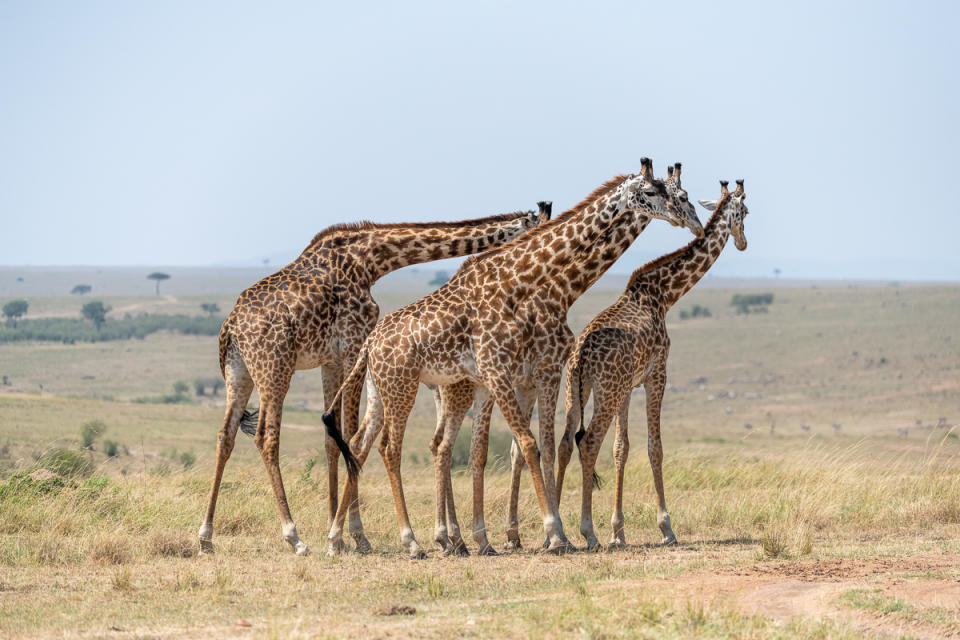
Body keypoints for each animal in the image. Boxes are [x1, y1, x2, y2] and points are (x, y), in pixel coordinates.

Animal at [198, 206, 544, 556]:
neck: (370, 260)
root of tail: (230, 327)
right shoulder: (354, 345)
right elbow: (351, 434)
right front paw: (357, 535)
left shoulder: (331, 359)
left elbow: (333, 438)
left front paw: (336, 531)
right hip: (275, 369)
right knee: (266, 437)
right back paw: (294, 537)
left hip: (239, 373)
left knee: (225, 436)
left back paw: (205, 536)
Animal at [322, 158, 696, 556]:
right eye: (654, 191)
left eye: (675, 191)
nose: (686, 219)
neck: (521, 283)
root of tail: (370, 344)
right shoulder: (504, 369)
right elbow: (529, 445)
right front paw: (553, 533)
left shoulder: (514, 376)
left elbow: (523, 447)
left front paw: (513, 535)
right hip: (403, 388)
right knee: (392, 449)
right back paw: (413, 540)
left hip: (383, 391)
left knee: (363, 445)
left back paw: (340, 536)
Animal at [556, 179, 752, 552]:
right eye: (746, 212)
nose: (744, 242)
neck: (665, 295)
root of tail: (582, 353)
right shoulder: (657, 374)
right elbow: (654, 447)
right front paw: (666, 527)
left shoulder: (628, 386)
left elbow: (621, 449)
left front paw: (618, 531)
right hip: (606, 391)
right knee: (588, 442)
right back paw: (587, 531)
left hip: (578, 390)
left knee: (563, 443)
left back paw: (556, 528)